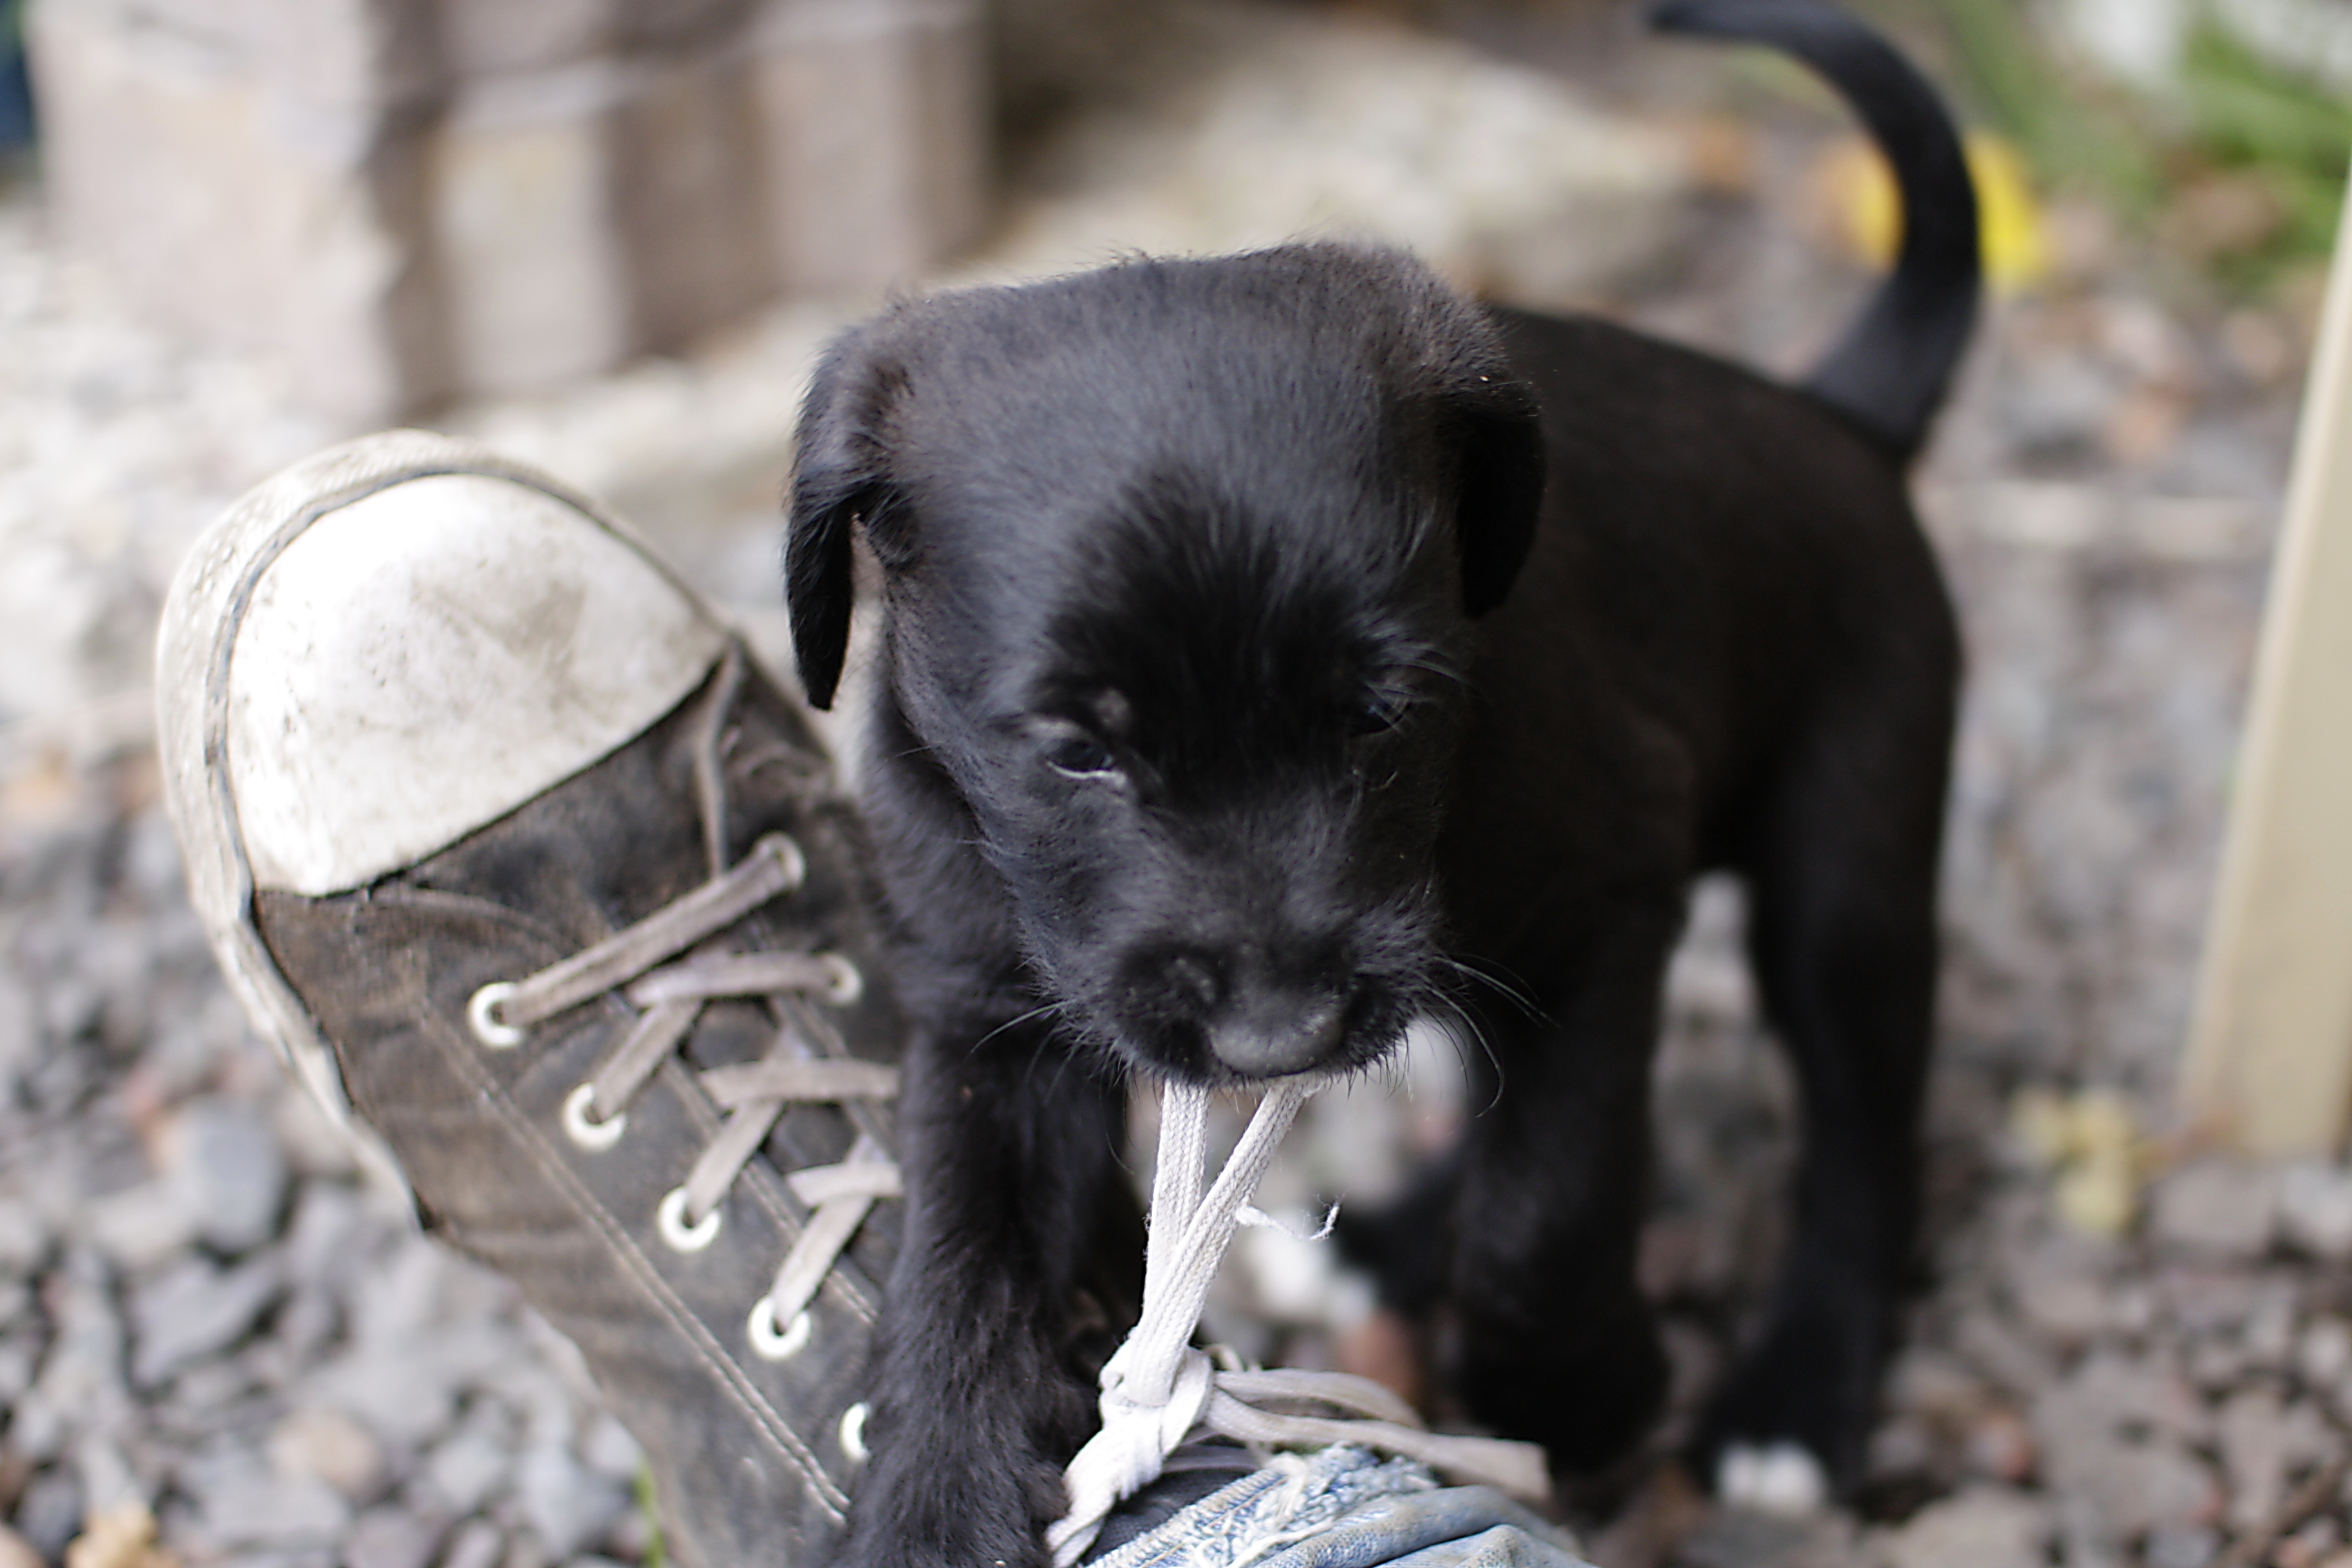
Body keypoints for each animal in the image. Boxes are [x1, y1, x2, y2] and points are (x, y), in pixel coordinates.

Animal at [781, 0, 1975, 1561]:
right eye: (1076, 749)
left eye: (1378, 713)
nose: (1275, 1037)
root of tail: (1836, 418)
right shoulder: (987, 1015)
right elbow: (963, 1252)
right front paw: (929, 1496)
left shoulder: (1604, 910)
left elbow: (1553, 1201)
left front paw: (1578, 1392)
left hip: (1846, 867)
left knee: (1860, 1143)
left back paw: (1792, 1397)